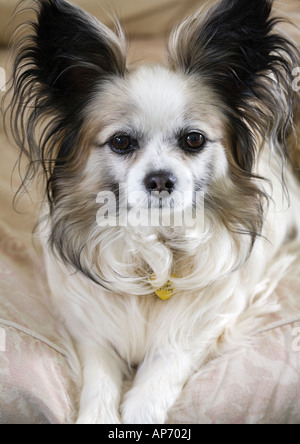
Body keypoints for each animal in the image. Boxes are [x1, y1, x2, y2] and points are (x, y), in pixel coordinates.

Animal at [5, 0, 300, 424]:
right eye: (121, 142)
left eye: (193, 140)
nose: (160, 179)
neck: (156, 242)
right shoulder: (90, 331)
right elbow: (99, 379)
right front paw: (98, 415)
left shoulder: (199, 331)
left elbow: (156, 381)